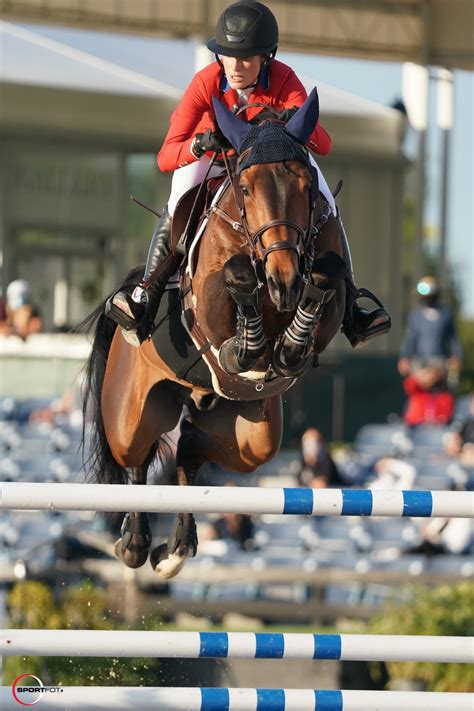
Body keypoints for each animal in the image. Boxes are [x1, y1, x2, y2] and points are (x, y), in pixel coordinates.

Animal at [81, 87, 346, 580]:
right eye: (245, 188)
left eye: (306, 187)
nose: (283, 280)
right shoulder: (208, 301)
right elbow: (235, 279)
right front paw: (246, 346)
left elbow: (327, 275)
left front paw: (286, 347)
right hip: (130, 414)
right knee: (140, 456)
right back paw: (135, 544)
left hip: (251, 438)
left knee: (187, 448)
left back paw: (176, 548)